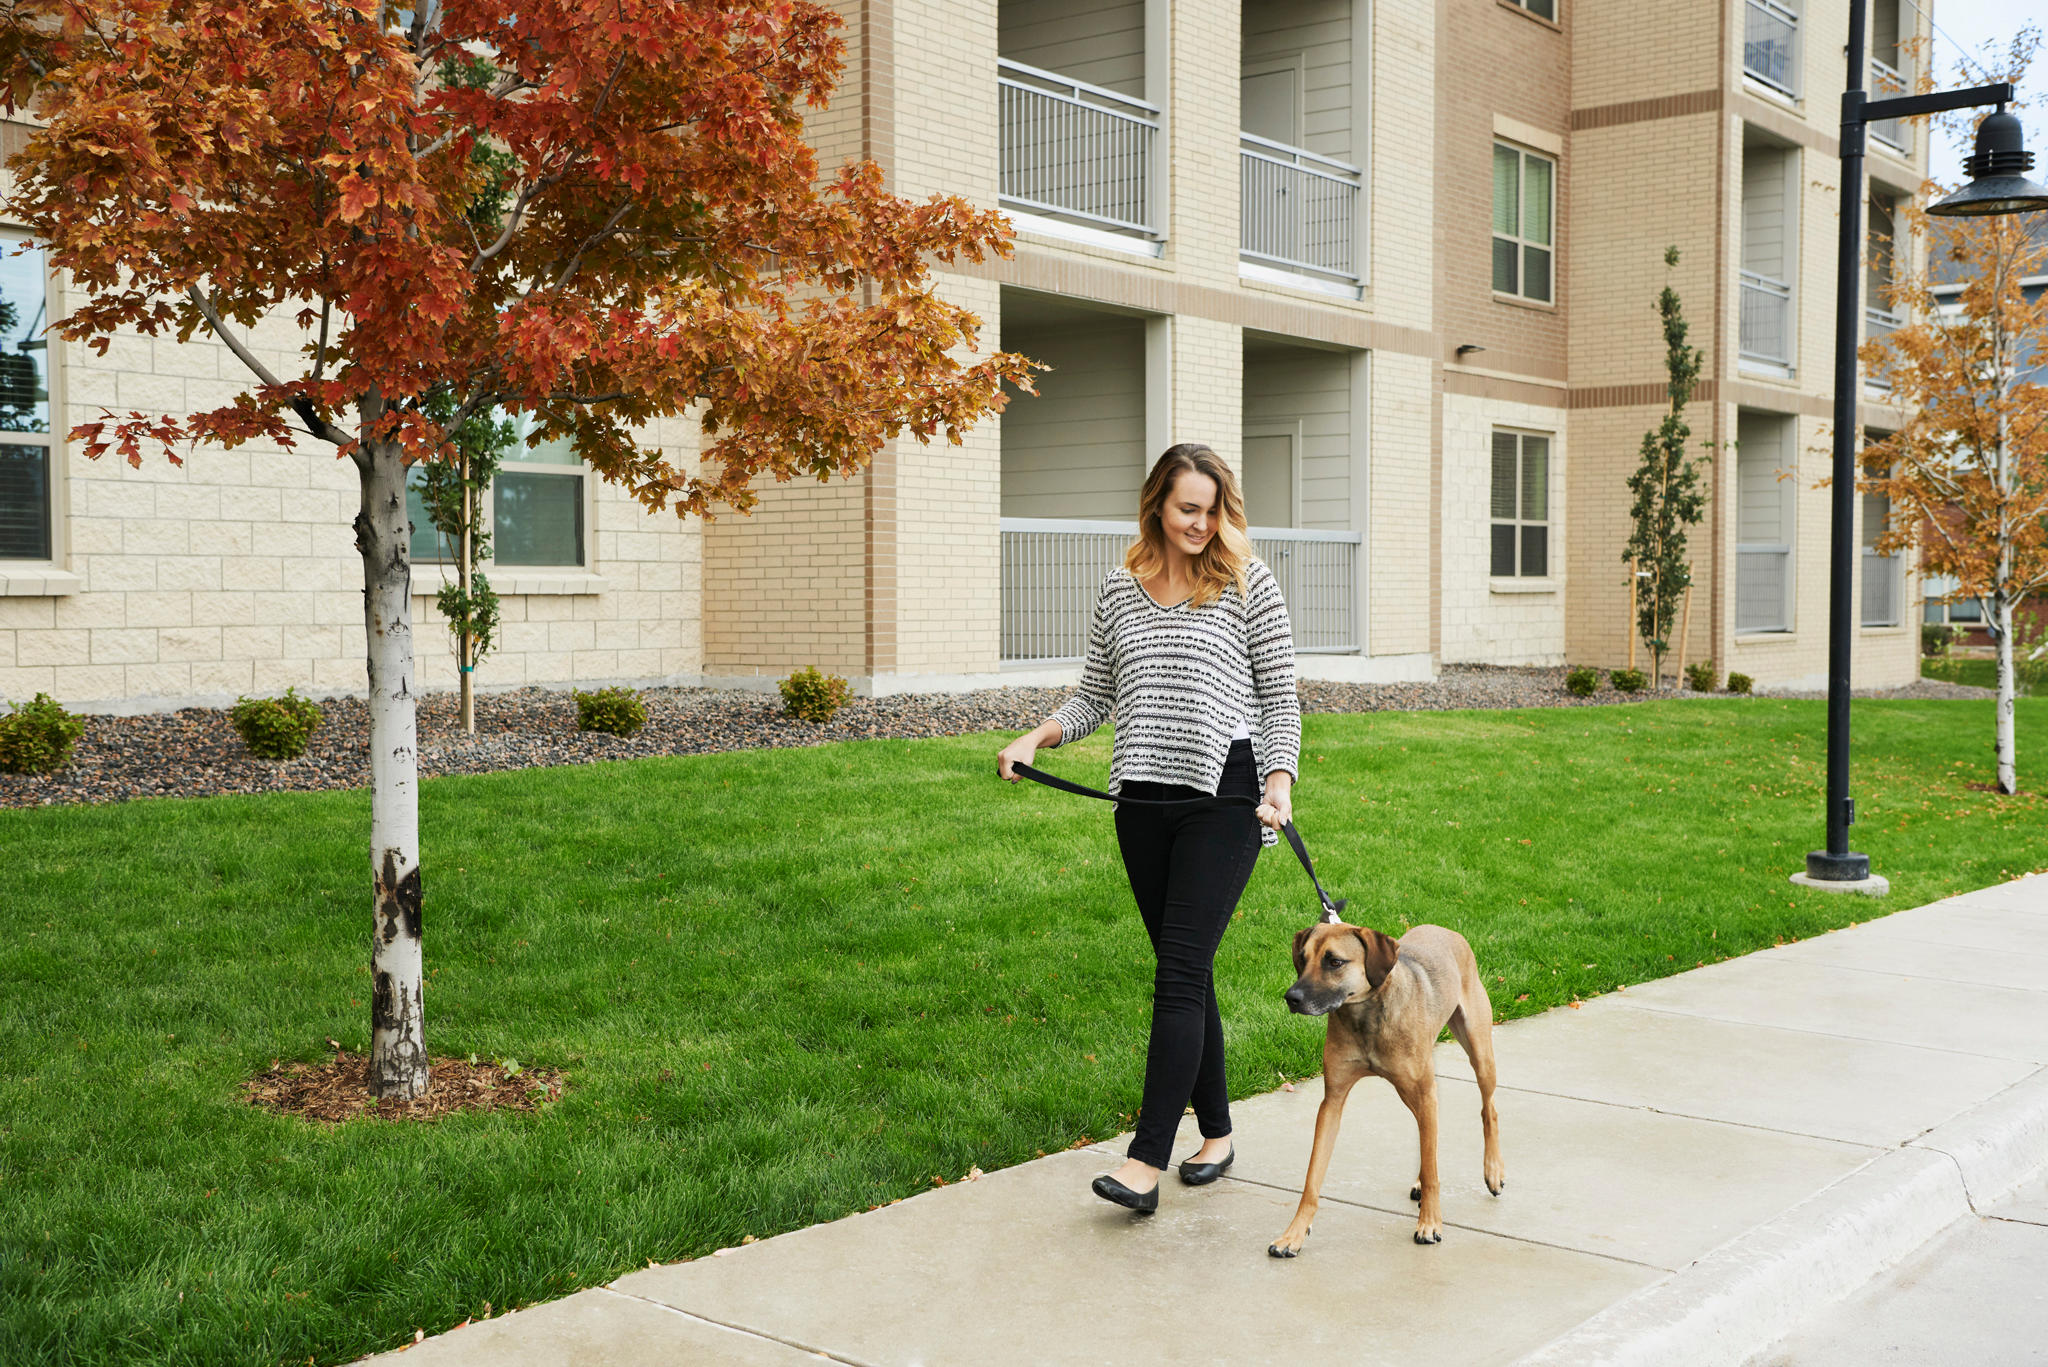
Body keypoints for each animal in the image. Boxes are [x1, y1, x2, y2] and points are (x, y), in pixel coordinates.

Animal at [1261, 918, 1507, 1262]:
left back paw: (1493, 1171)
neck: (1364, 1014)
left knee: (1488, 1109)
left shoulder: (1424, 1090)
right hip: (1413, 1091)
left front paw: (1430, 1224)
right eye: (1303, 958)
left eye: (1334, 962)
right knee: (1427, 1134)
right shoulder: (1332, 1101)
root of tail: (1446, 929)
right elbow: (1312, 1179)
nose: (1291, 997)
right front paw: (1293, 1235)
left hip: (1478, 1051)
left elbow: (1433, 1170)